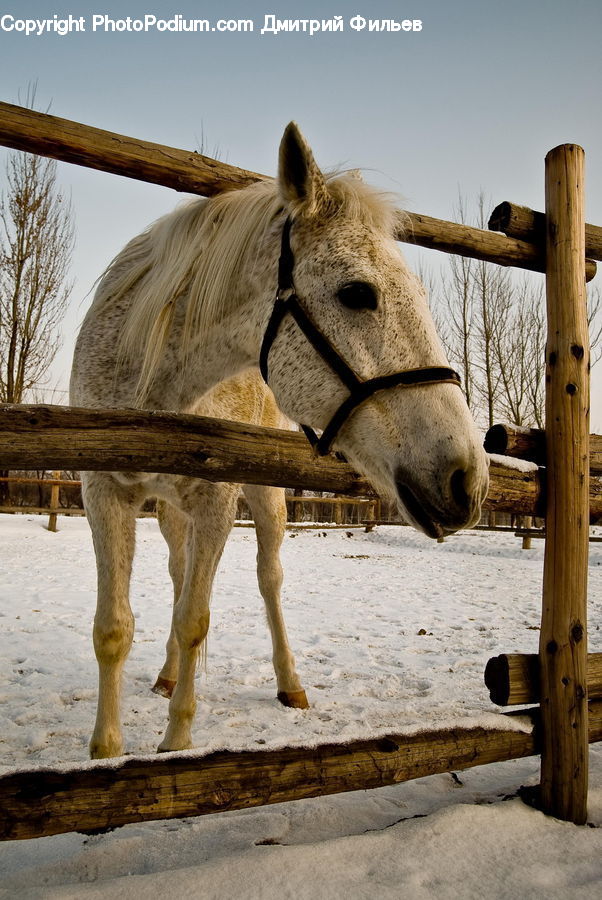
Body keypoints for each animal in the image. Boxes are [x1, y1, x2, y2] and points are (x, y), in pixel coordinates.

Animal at [70, 122, 489, 759]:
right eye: (357, 293)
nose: (468, 478)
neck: (151, 378)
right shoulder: (102, 493)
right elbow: (114, 628)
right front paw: (105, 754)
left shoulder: (217, 499)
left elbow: (196, 618)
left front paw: (177, 743)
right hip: (170, 510)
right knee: (178, 570)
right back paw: (167, 675)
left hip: (265, 499)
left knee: (268, 579)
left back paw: (289, 683)